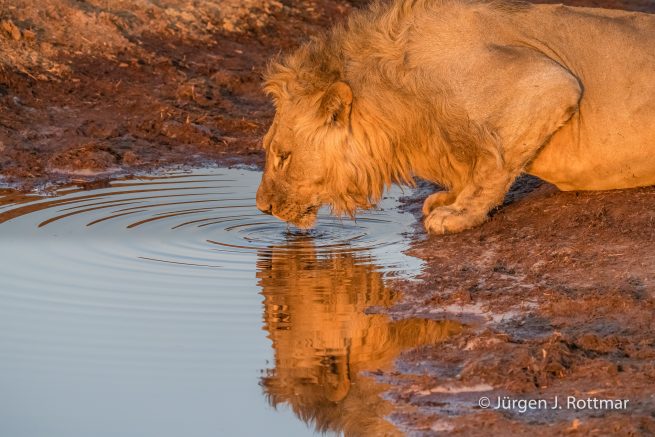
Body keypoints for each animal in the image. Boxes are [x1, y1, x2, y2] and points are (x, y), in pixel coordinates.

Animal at [255, 0, 655, 234]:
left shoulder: (549, 85)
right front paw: (447, 198)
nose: (263, 208)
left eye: (283, 156)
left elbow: (493, 164)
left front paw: (458, 214)